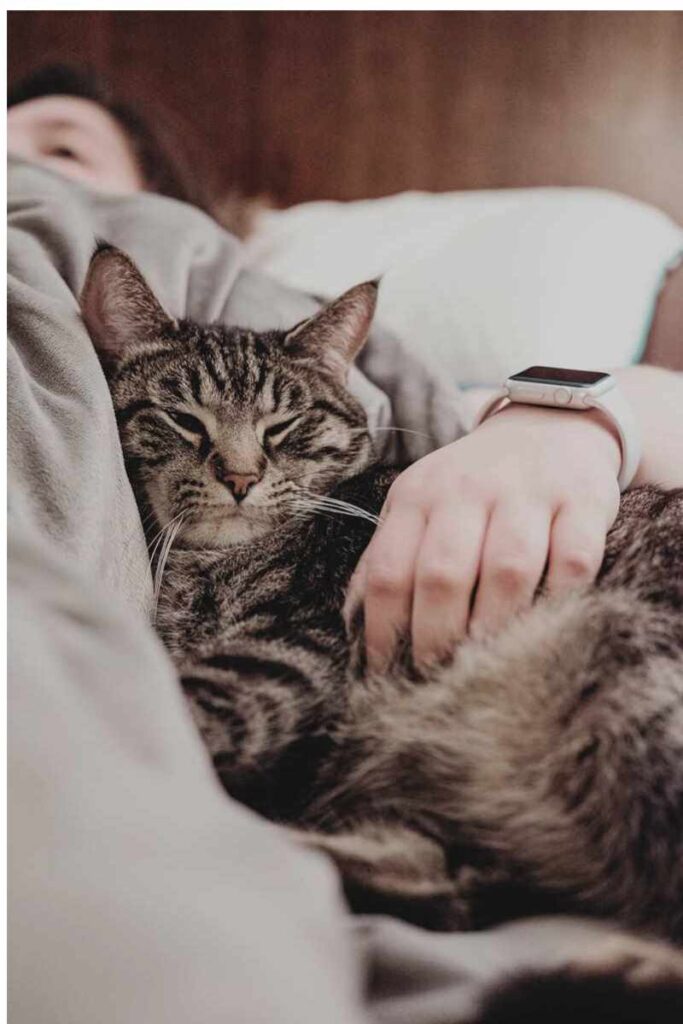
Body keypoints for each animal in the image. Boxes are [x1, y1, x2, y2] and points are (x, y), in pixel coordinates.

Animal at [81, 245, 683, 1015]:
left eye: (285, 426)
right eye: (184, 419)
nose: (240, 477)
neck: (206, 566)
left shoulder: (291, 651)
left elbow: (186, 704)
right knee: (445, 887)